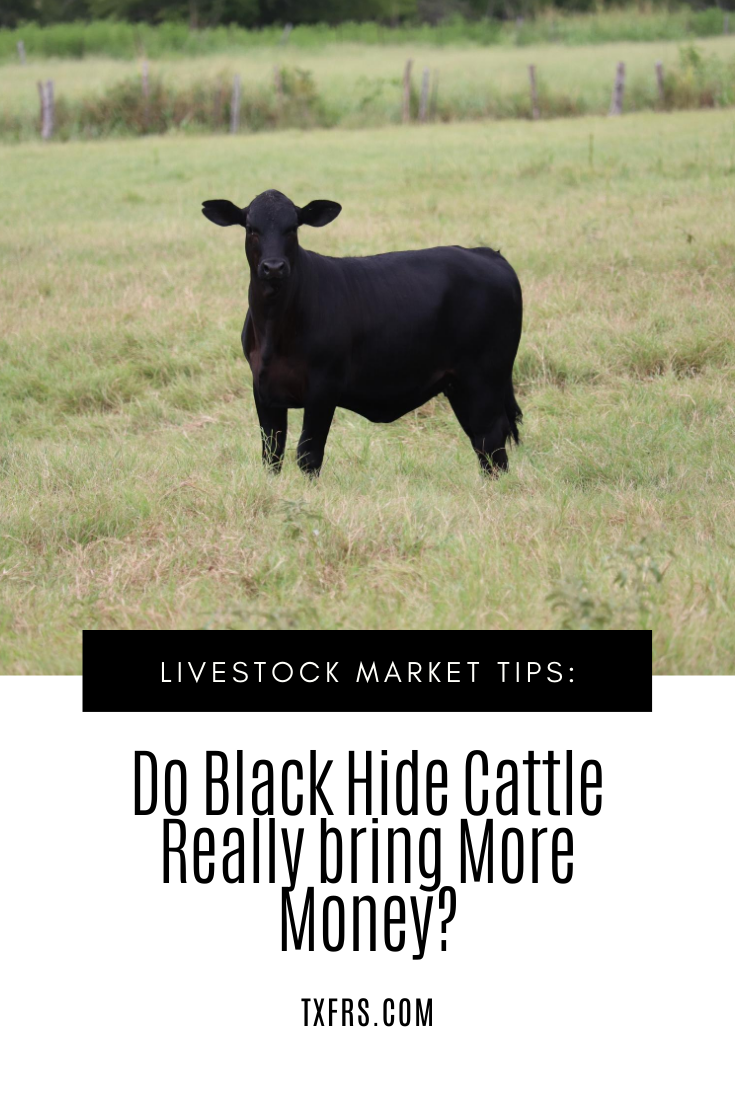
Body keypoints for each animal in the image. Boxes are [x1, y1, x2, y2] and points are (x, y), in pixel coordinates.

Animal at [202, 188, 522, 478]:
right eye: (251, 228)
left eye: (292, 227)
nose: (273, 267)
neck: (273, 329)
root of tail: (487, 254)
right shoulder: (263, 388)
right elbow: (272, 454)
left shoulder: (323, 387)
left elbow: (309, 453)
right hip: (460, 384)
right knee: (481, 440)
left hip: (485, 376)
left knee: (491, 437)